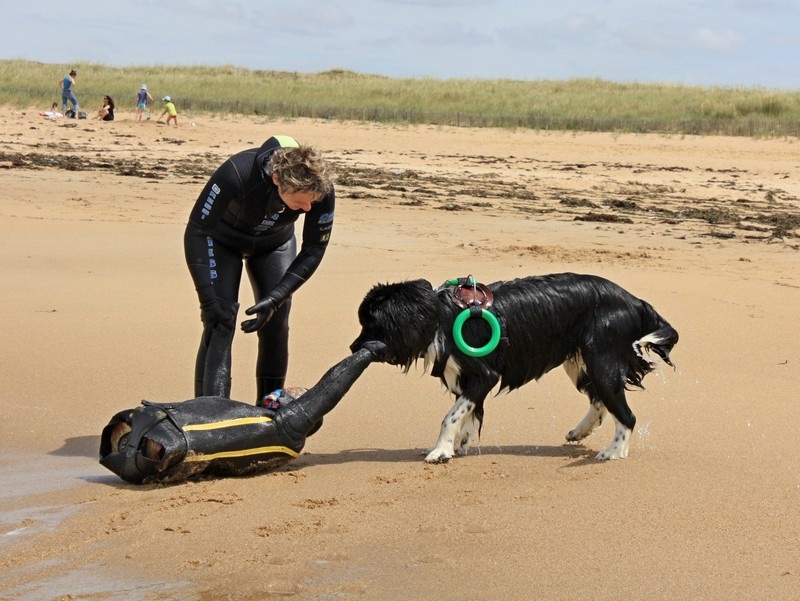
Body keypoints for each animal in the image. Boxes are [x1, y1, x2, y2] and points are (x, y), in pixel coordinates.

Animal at [350, 274, 676, 462]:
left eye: (371, 324)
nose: (353, 348)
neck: (440, 315)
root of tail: (635, 301)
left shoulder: (484, 375)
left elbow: (450, 416)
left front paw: (440, 450)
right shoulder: (466, 381)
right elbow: (467, 414)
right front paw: (459, 445)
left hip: (601, 359)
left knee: (625, 414)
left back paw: (614, 451)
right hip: (580, 360)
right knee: (599, 400)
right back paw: (579, 432)